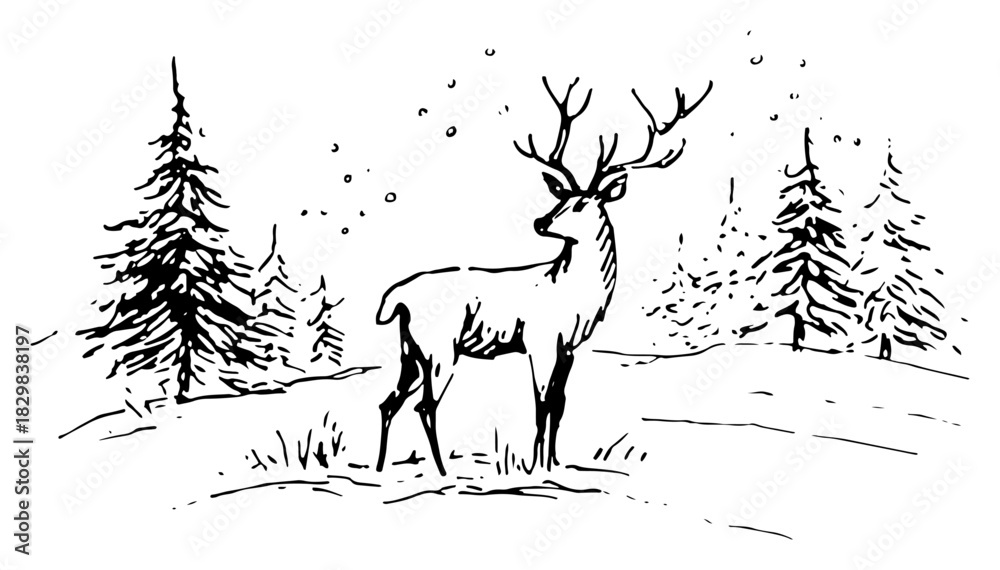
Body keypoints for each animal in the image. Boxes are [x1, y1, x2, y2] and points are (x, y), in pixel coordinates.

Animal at [375, 76, 712, 476]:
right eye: (560, 196)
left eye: (581, 203)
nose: (539, 221)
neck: (574, 296)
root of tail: (396, 300)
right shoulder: (539, 339)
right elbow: (540, 402)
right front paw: (534, 466)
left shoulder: (567, 347)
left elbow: (559, 403)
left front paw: (553, 462)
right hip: (440, 347)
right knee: (425, 406)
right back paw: (442, 471)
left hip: (408, 352)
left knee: (389, 402)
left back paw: (380, 467)